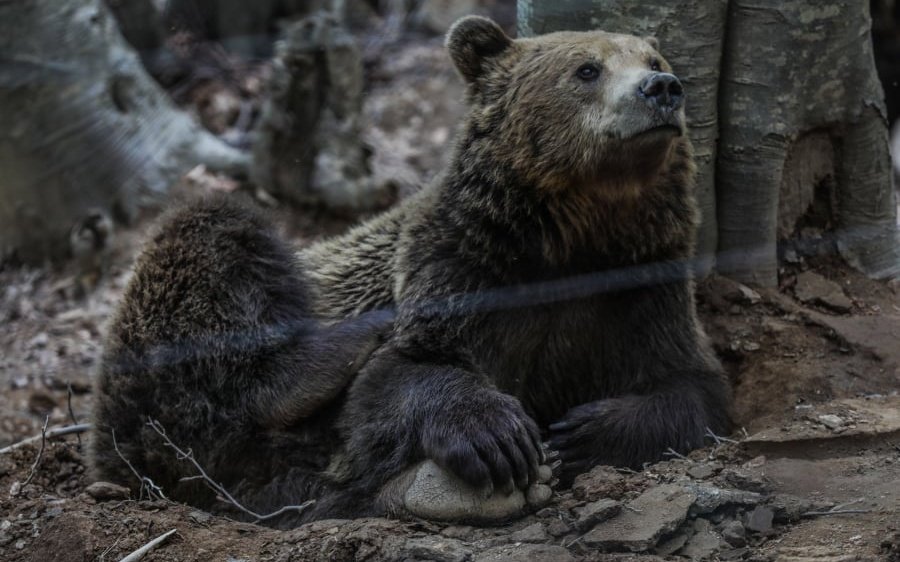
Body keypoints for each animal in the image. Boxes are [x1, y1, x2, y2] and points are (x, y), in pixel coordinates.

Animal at [89, 15, 732, 524]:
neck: (573, 238)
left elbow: (692, 387)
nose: (662, 88)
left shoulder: (640, 286)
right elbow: (407, 369)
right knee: (214, 238)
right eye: (587, 69)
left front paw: (580, 434)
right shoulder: (459, 263)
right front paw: (500, 437)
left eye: (653, 59)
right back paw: (335, 351)